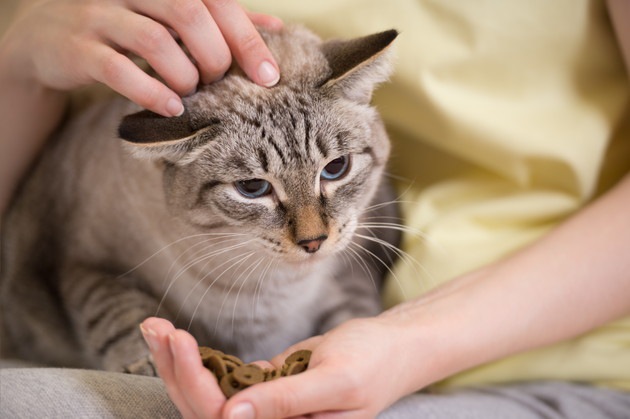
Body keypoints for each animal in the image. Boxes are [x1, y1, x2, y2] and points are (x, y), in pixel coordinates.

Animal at [1, 25, 400, 374]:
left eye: (336, 168)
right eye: (252, 188)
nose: (314, 242)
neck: (273, 286)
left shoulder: (352, 267)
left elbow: (352, 314)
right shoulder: (80, 263)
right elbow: (119, 310)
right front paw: (146, 362)